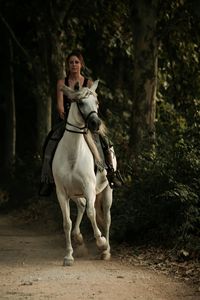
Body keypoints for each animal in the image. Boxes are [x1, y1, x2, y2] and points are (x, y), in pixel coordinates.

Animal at [52, 81, 114, 266]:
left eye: (97, 103)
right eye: (80, 103)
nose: (96, 124)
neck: (73, 155)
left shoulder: (89, 188)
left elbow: (91, 213)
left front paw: (101, 243)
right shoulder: (62, 192)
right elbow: (67, 222)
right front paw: (68, 256)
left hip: (107, 191)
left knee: (106, 217)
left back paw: (106, 251)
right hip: (75, 193)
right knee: (81, 206)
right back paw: (78, 237)